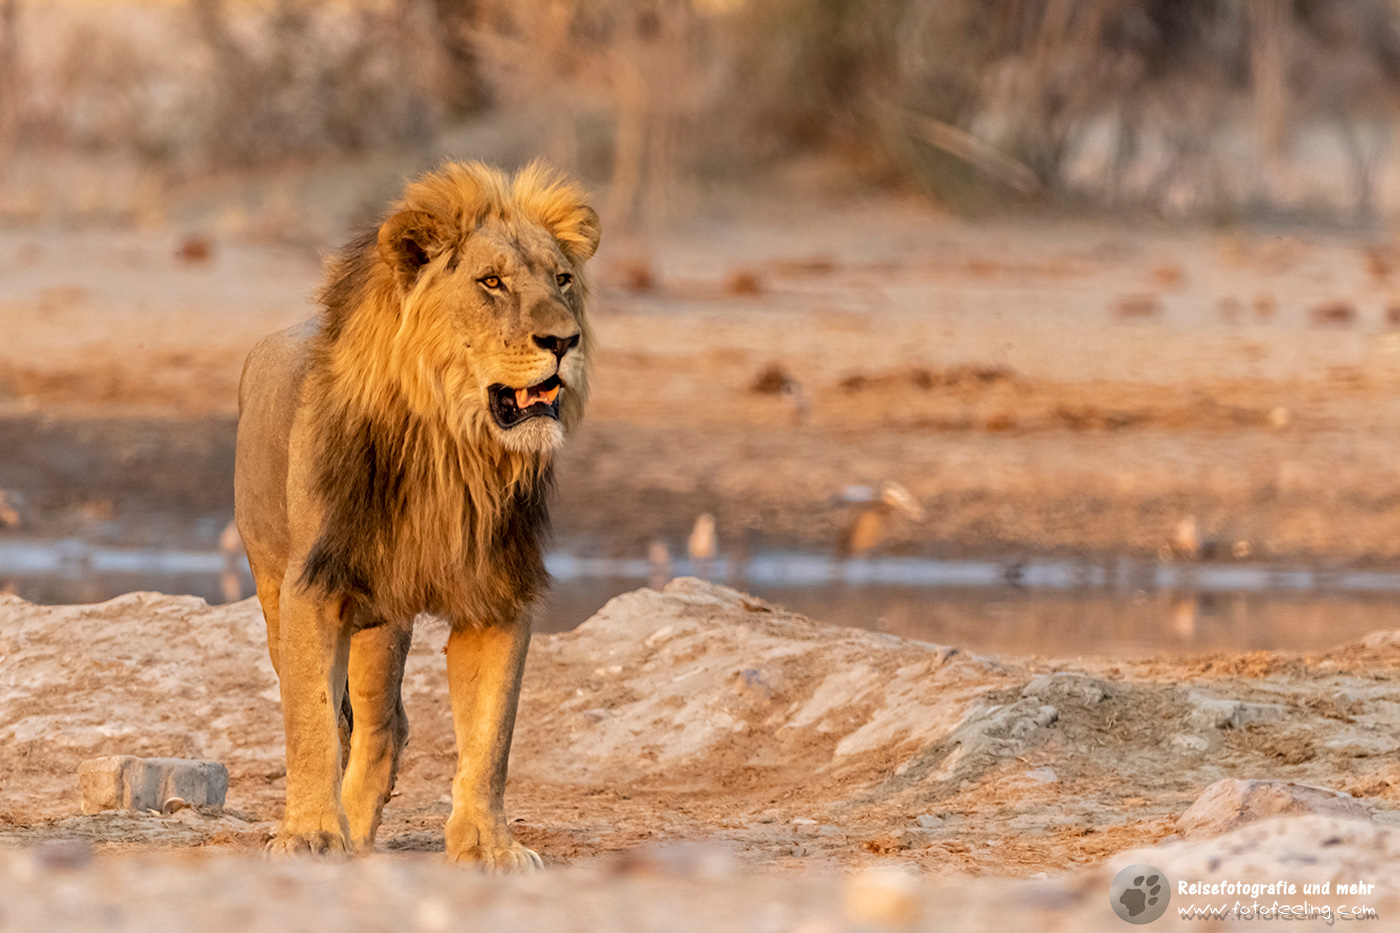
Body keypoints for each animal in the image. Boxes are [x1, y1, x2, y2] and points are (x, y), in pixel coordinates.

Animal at [234, 161, 599, 869]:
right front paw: (308, 834)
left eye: (563, 280)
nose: (564, 341)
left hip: (383, 622)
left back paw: (358, 832)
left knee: (384, 725)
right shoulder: (314, 589)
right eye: (491, 282)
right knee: (343, 718)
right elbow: (310, 723)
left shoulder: (498, 596)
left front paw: (489, 845)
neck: (450, 445)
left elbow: (491, 737)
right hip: (277, 589)